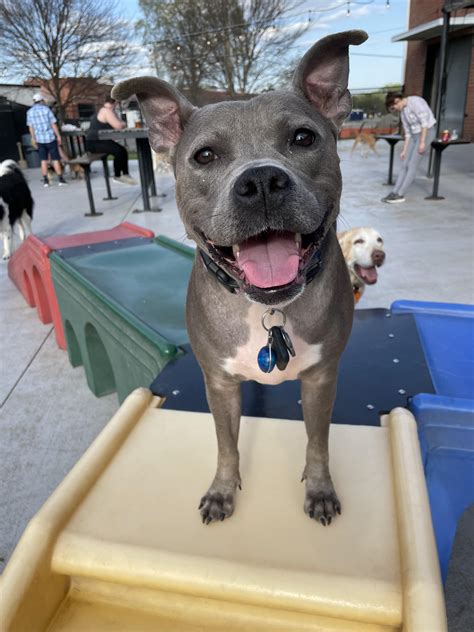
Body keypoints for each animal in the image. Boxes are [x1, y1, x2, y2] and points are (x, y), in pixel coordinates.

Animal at [113, 28, 368, 524]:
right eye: (205, 155)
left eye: (303, 137)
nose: (262, 181)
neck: (267, 310)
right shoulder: (219, 384)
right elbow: (225, 444)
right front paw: (222, 490)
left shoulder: (321, 380)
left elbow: (318, 442)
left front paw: (320, 488)